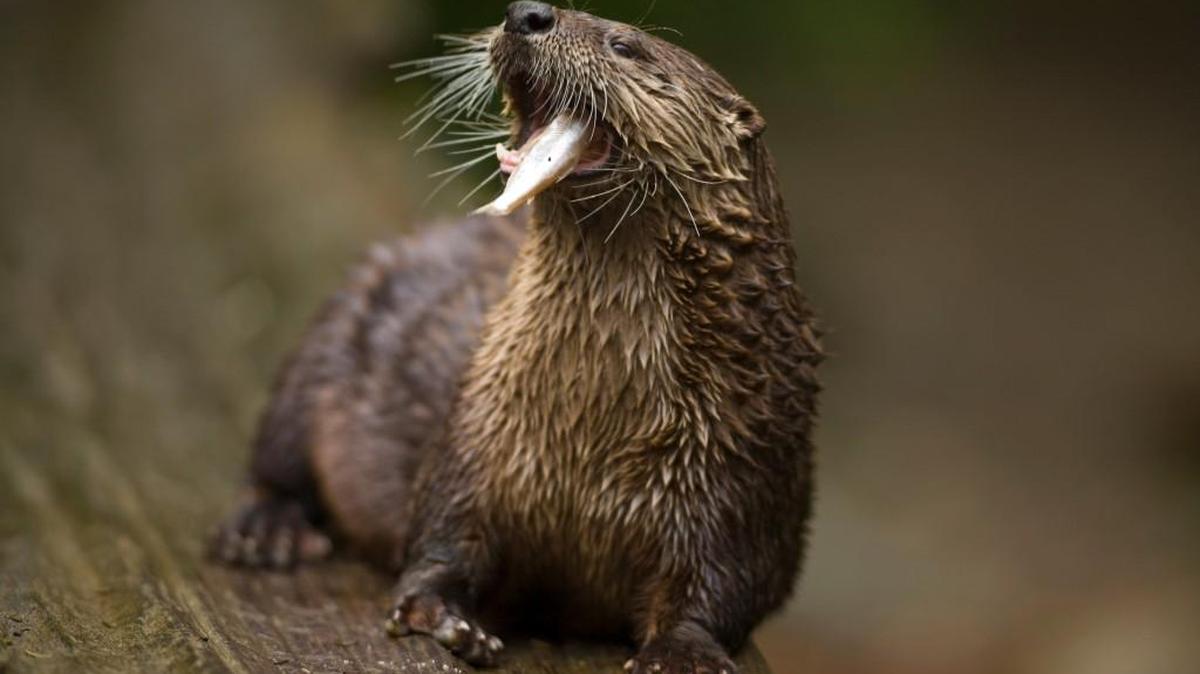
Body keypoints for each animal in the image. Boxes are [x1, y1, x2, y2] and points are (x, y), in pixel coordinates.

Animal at [211, 3, 823, 673]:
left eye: (625, 45)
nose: (527, 13)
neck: (590, 435)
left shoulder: (747, 485)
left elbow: (720, 592)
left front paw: (682, 653)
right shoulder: (471, 443)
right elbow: (441, 544)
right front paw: (443, 619)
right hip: (331, 333)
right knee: (278, 449)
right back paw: (267, 529)